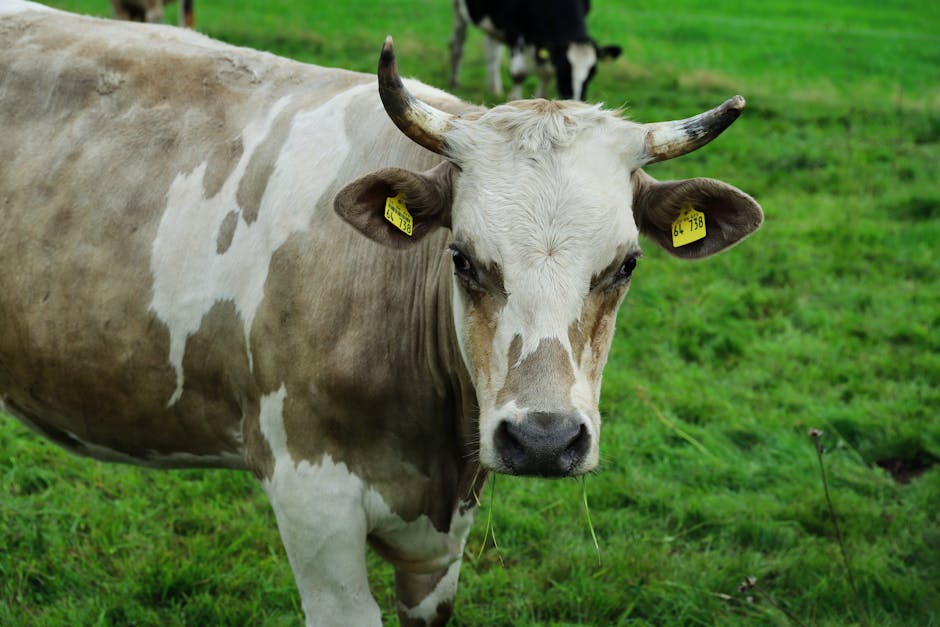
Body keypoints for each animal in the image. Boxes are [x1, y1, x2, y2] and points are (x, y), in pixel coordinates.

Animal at [449, 0, 622, 100]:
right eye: (563, 69)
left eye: (593, 73)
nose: (576, 101)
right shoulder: (514, 29)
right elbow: (519, 74)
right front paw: (515, 101)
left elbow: (545, 73)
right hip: (459, 11)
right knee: (457, 45)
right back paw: (454, 82)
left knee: (492, 52)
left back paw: (494, 89)